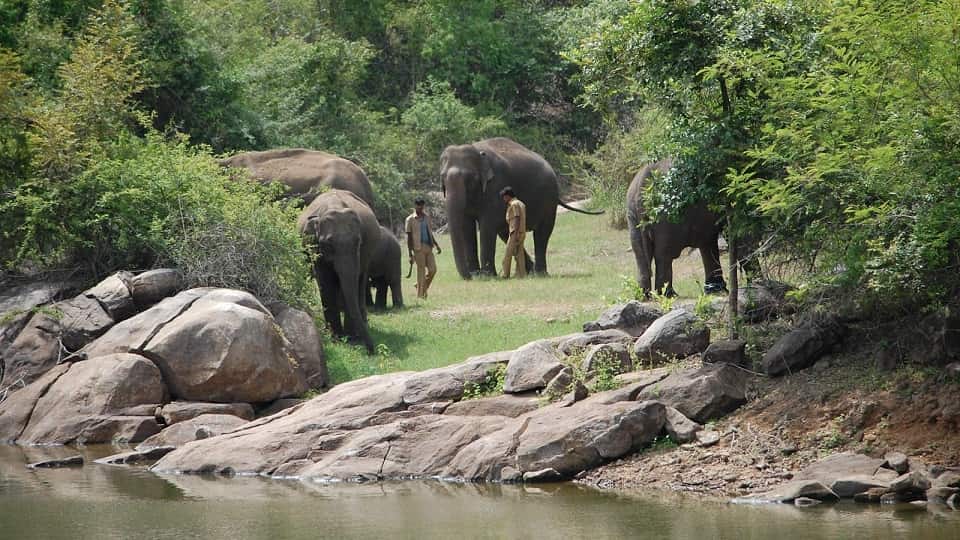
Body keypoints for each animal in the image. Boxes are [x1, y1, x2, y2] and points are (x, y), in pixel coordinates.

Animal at [298, 188, 380, 352]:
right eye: (328, 244)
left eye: (358, 242)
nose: (372, 350)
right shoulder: (314, 245)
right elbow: (325, 281)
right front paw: (336, 338)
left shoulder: (361, 250)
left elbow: (351, 281)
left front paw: (351, 339)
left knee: (361, 281)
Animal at [440, 137, 600, 278]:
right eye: (442, 177)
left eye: (470, 179)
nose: (468, 276)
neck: (478, 151)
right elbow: (466, 227)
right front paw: (477, 275)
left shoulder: (496, 186)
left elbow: (487, 226)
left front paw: (486, 276)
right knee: (507, 234)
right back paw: (530, 271)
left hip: (549, 199)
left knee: (542, 233)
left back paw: (539, 273)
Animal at [624, 158, 728, 298]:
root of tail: (642, 184)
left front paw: (715, 290)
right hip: (667, 214)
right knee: (664, 255)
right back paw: (669, 295)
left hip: (633, 214)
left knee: (641, 255)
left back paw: (645, 295)